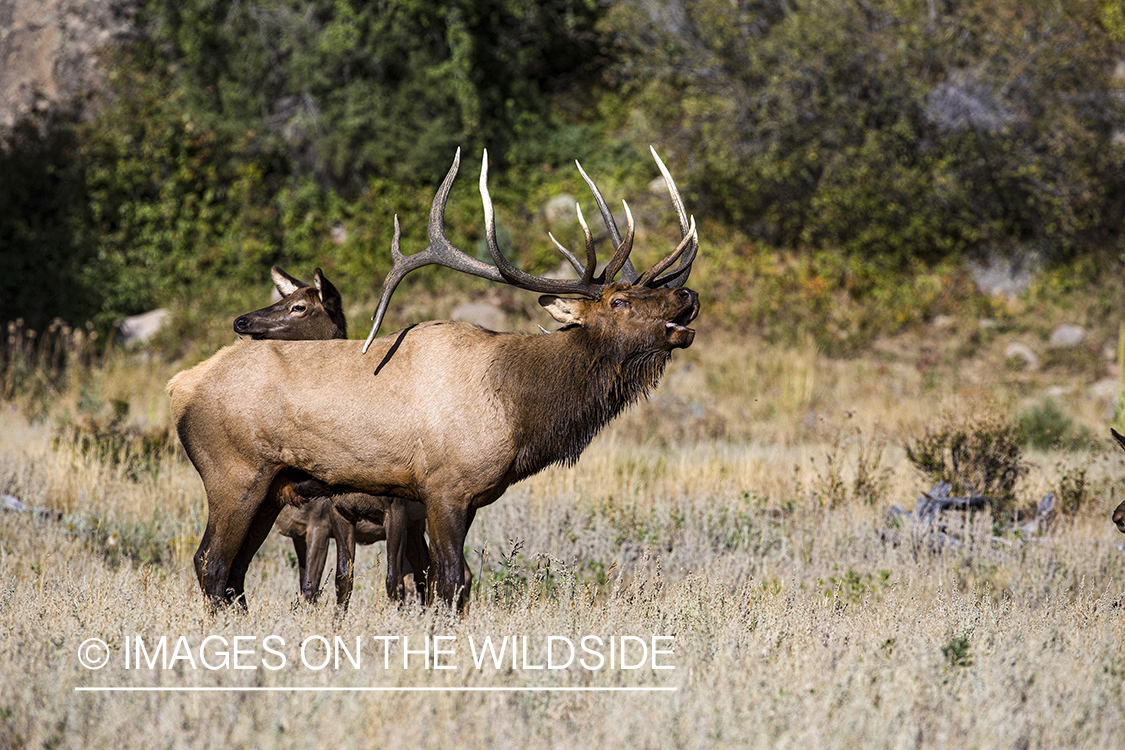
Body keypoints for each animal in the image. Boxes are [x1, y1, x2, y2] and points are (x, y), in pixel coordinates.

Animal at [232, 266, 429, 607]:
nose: (241, 321)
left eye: (299, 307)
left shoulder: (388, 510)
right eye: (283, 297)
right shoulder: (330, 516)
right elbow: (334, 582)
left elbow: (389, 583)